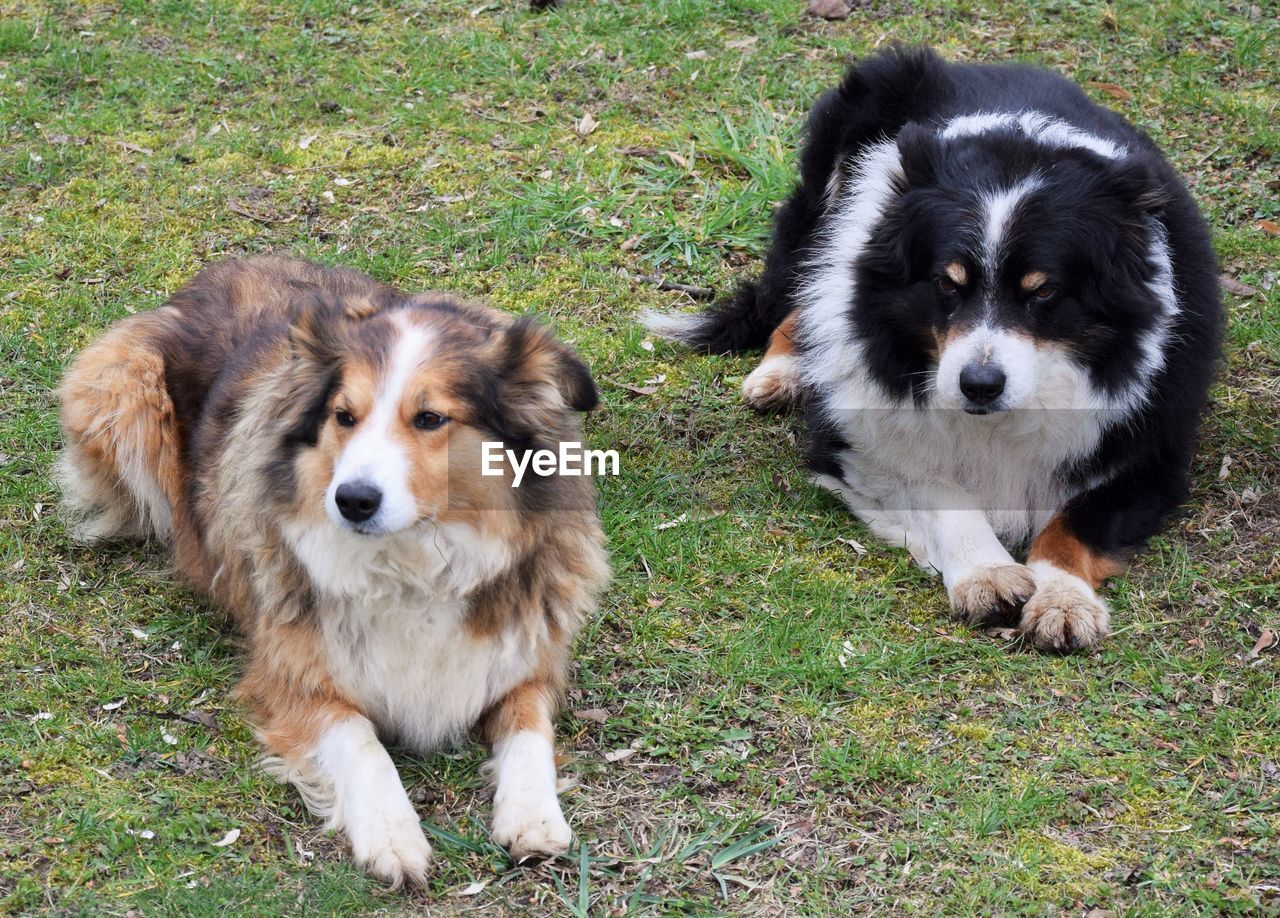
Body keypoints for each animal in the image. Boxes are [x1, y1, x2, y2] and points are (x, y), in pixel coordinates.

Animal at [55, 254, 604, 885]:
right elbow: (362, 742)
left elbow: (529, 731)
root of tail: (224, 265)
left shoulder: (526, 655)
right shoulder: (294, 675)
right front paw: (392, 834)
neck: (414, 562)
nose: (352, 500)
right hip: (124, 388)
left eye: (430, 418)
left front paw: (534, 815)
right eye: (344, 416)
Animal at [650, 46, 1218, 652]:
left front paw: (1063, 600)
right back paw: (783, 371)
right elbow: (935, 485)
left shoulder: (1150, 453)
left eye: (1043, 291)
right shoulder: (855, 441)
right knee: (806, 283)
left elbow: (1073, 524)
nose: (979, 386)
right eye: (948, 283)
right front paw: (987, 573)